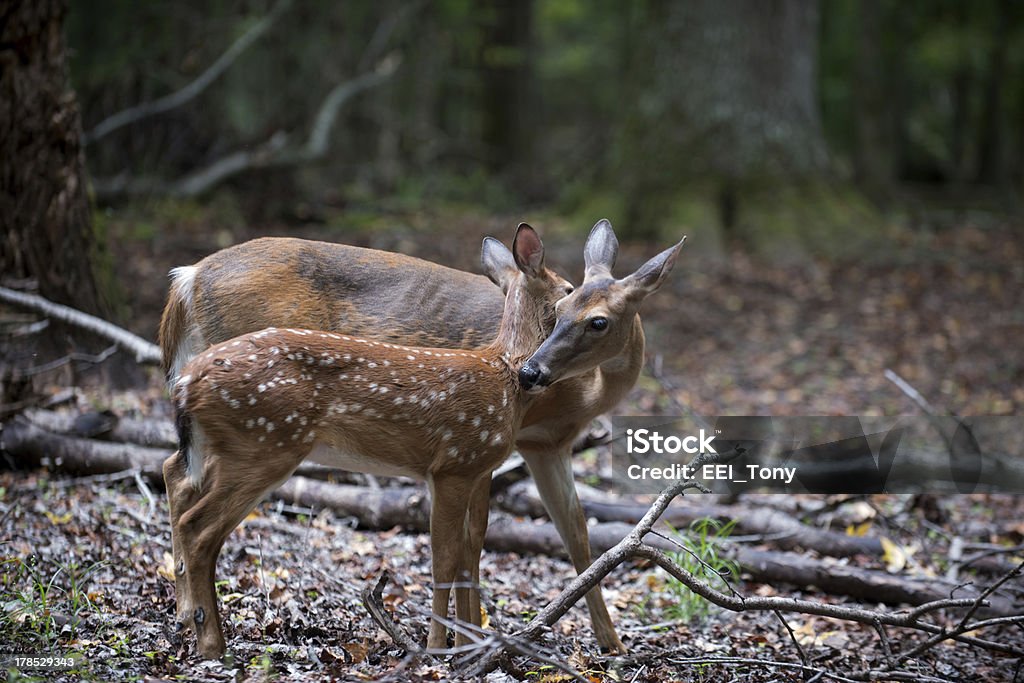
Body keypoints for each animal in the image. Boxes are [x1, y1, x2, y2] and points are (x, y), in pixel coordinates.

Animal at [161, 219, 679, 651]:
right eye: (566, 298)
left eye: (596, 318)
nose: (536, 372)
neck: (504, 374)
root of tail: (187, 277)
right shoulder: (460, 462)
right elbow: (448, 555)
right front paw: (440, 647)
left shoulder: (502, 459)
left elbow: (505, 542)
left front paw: (473, 640)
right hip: (264, 444)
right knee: (198, 523)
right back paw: (212, 641)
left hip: (230, 445)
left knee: (176, 477)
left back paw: (190, 620)